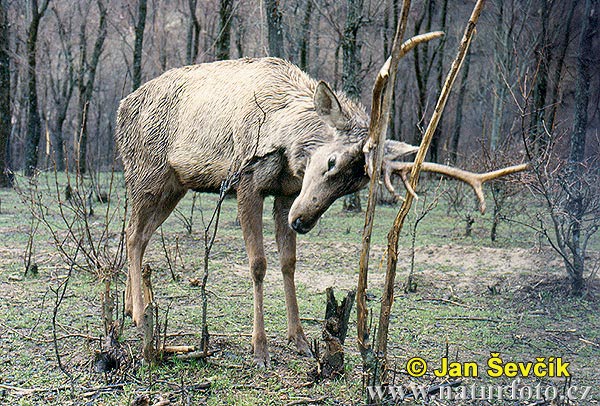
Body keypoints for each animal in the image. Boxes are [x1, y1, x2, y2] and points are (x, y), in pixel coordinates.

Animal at [116, 54, 524, 368]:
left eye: (355, 185)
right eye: (331, 161)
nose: (304, 221)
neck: (285, 129)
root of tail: (120, 110)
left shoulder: (285, 193)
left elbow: (288, 262)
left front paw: (297, 339)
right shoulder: (246, 181)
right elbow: (258, 264)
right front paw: (260, 349)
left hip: (175, 185)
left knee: (138, 235)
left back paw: (133, 307)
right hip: (146, 173)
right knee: (133, 234)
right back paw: (137, 312)